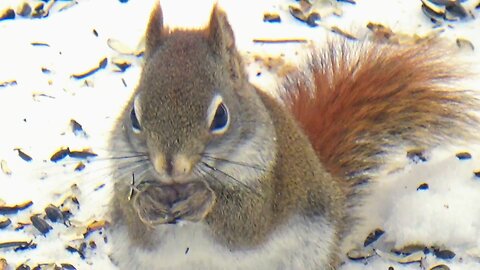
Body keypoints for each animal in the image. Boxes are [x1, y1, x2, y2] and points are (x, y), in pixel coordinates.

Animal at [107, 2, 478, 270]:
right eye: (134, 115)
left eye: (221, 116)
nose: (169, 166)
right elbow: (137, 225)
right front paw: (145, 203)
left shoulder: (271, 184)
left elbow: (246, 223)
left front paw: (203, 199)